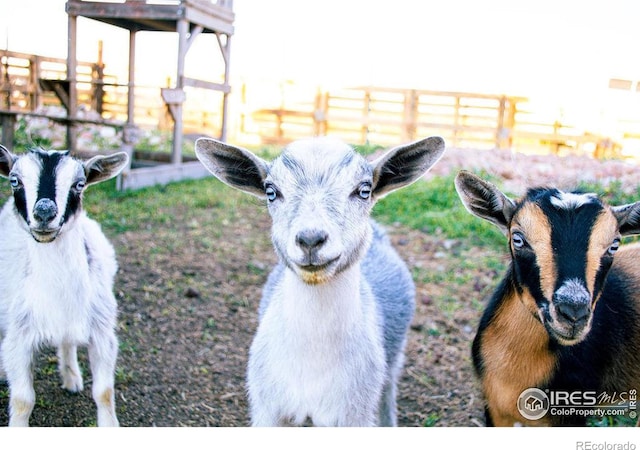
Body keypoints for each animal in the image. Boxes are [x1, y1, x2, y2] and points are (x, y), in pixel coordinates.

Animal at [0, 146, 129, 428]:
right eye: (14, 180)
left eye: (79, 184)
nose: (44, 213)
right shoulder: (19, 335)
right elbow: (23, 399)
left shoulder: (102, 331)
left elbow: (104, 392)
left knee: (67, 342)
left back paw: (71, 379)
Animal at [195, 136, 444, 426]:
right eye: (271, 191)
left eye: (364, 190)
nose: (311, 239)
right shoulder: (267, 409)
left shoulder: (355, 413)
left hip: (392, 363)